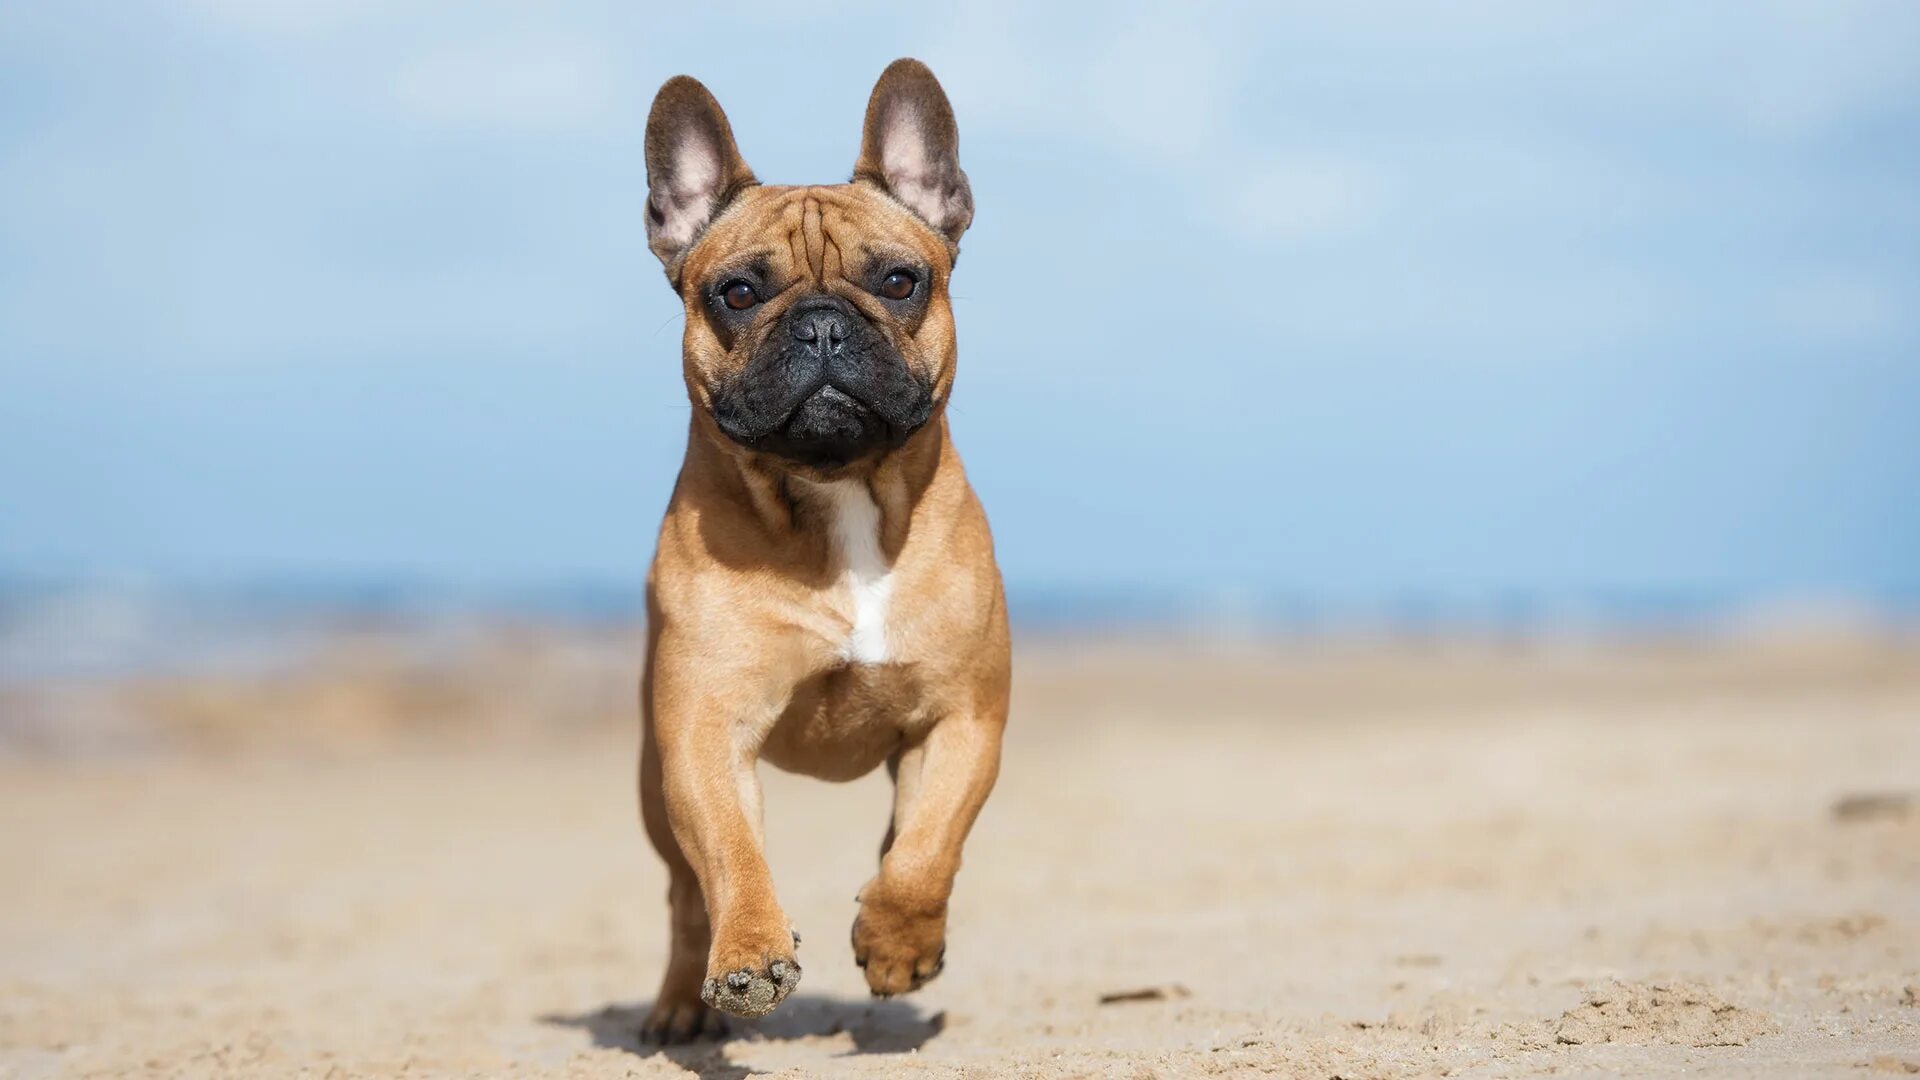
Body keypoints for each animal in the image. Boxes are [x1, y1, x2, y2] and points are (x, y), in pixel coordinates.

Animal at [637, 61, 1013, 1045]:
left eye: (900, 280)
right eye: (736, 293)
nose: (820, 325)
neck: (837, 495)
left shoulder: (962, 720)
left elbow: (928, 845)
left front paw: (897, 940)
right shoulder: (705, 732)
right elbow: (731, 854)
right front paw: (747, 957)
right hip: (653, 782)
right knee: (683, 894)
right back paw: (680, 1002)